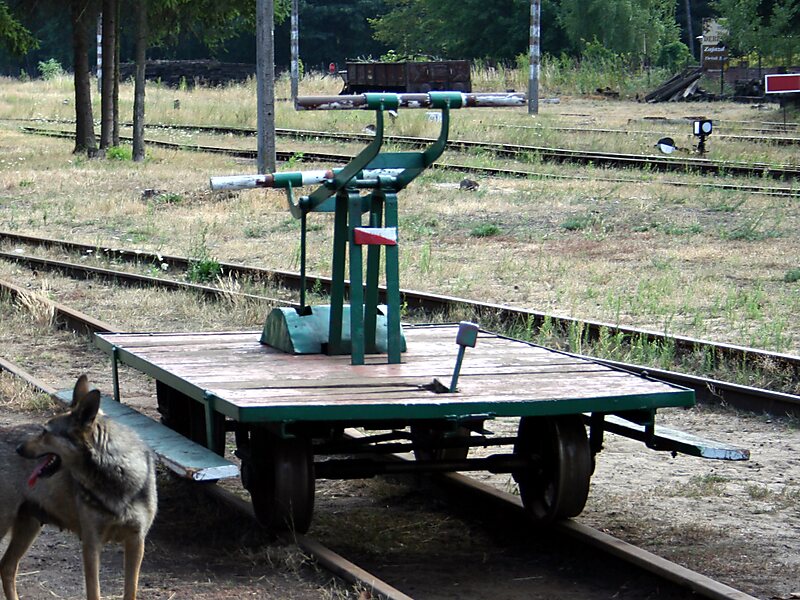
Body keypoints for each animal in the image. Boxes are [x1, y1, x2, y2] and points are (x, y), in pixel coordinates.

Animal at [0, 375, 157, 600]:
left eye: (45, 432)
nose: (18, 448)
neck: (115, 476)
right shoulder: (91, 544)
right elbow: (94, 592)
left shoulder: (136, 542)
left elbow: (130, 591)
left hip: (28, 527)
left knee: (7, 567)